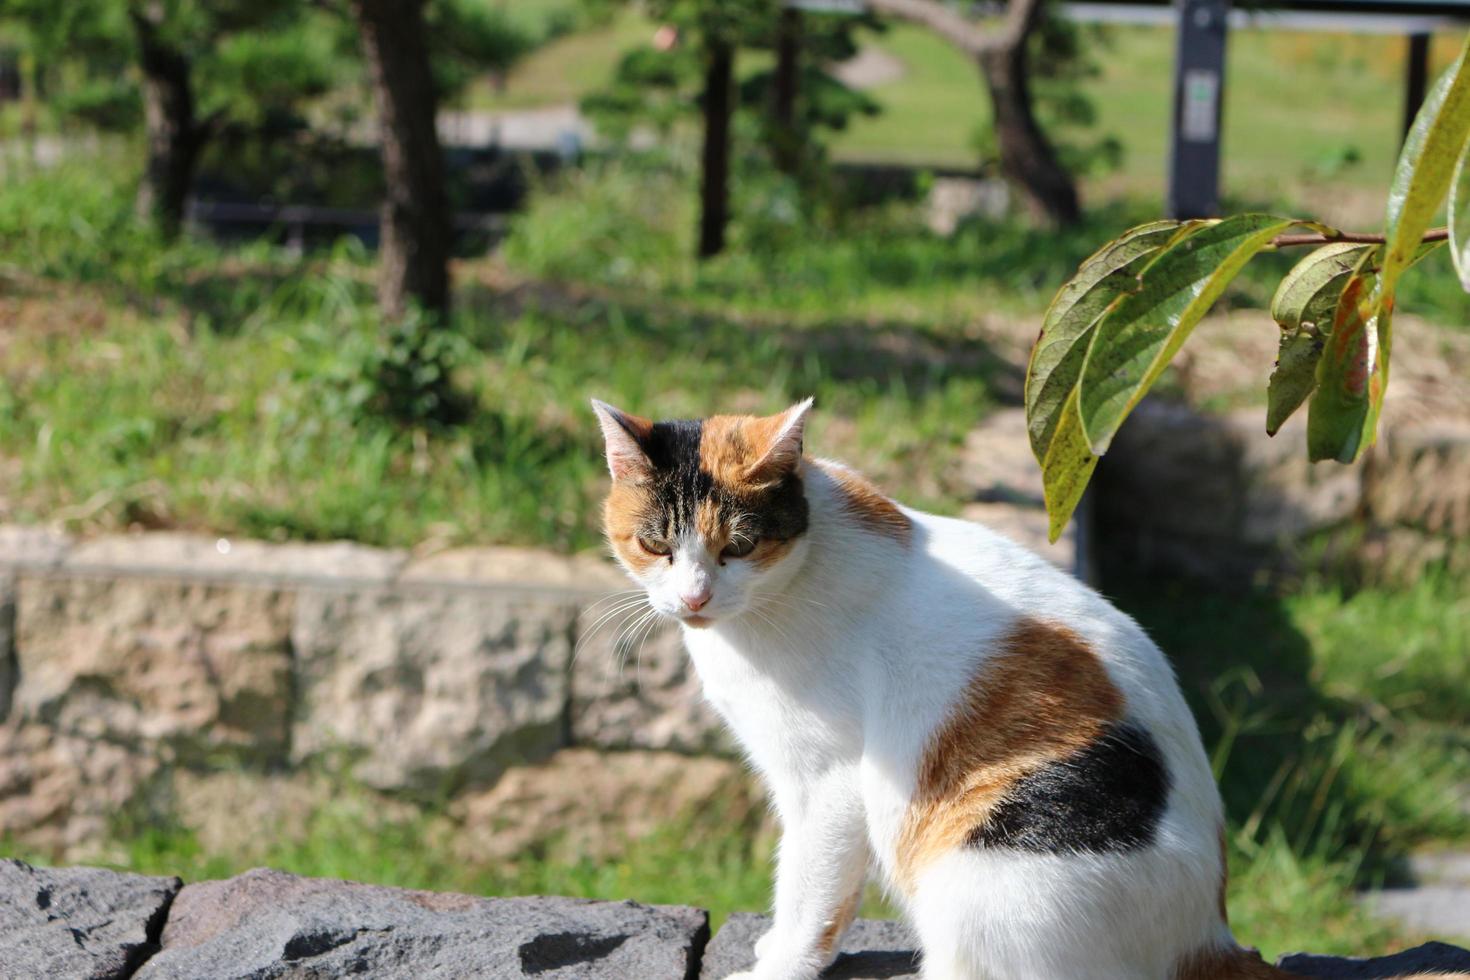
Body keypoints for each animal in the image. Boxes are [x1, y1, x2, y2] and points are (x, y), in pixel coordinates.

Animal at [588, 399, 1458, 980]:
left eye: (737, 546)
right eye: (656, 544)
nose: (694, 596)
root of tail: (1205, 935)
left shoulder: (830, 784)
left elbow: (811, 884)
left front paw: (781, 963)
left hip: (979, 871)